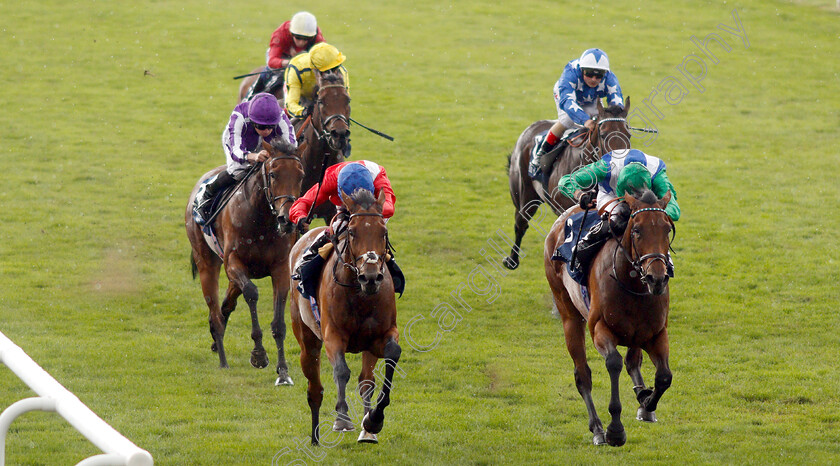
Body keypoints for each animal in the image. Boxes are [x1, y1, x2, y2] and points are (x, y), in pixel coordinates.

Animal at [185, 138, 304, 386]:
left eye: (300, 175)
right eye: (274, 174)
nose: (287, 219)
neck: (261, 218)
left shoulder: (280, 268)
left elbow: (279, 324)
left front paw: (283, 372)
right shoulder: (233, 262)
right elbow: (252, 292)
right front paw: (258, 354)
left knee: (225, 305)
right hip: (206, 262)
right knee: (214, 310)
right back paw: (222, 358)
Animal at [288, 188, 400, 444]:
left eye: (383, 232)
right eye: (352, 231)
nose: (371, 277)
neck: (361, 295)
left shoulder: (381, 335)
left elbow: (391, 355)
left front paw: (374, 420)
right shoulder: (333, 335)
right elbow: (341, 371)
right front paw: (342, 419)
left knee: (366, 381)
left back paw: (367, 431)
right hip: (306, 338)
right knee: (315, 389)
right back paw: (315, 438)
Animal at [502, 97, 632, 270]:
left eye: (628, 135)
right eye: (604, 134)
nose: (622, 166)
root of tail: (531, 128)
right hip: (524, 194)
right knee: (521, 222)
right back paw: (512, 260)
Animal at [544, 189, 676, 448]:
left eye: (667, 229)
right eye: (637, 230)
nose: (656, 278)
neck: (632, 283)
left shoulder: (656, 333)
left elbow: (664, 376)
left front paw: (646, 402)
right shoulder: (600, 330)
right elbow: (613, 363)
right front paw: (615, 430)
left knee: (633, 361)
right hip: (568, 314)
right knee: (583, 375)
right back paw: (597, 428)